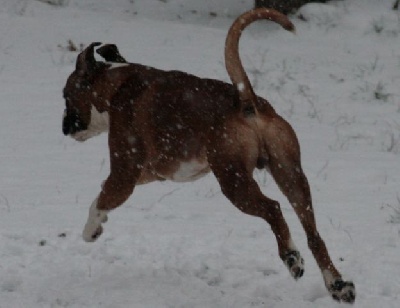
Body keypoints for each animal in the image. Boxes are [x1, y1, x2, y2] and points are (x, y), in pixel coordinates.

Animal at [62, 7, 356, 304]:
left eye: (65, 95)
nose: (63, 127)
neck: (116, 86)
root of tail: (248, 101)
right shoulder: (148, 173)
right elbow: (104, 193)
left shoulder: (124, 175)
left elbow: (99, 202)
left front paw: (91, 230)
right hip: (291, 176)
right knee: (313, 234)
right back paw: (338, 285)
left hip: (234, 182)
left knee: (273, 209)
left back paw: (291, 257)